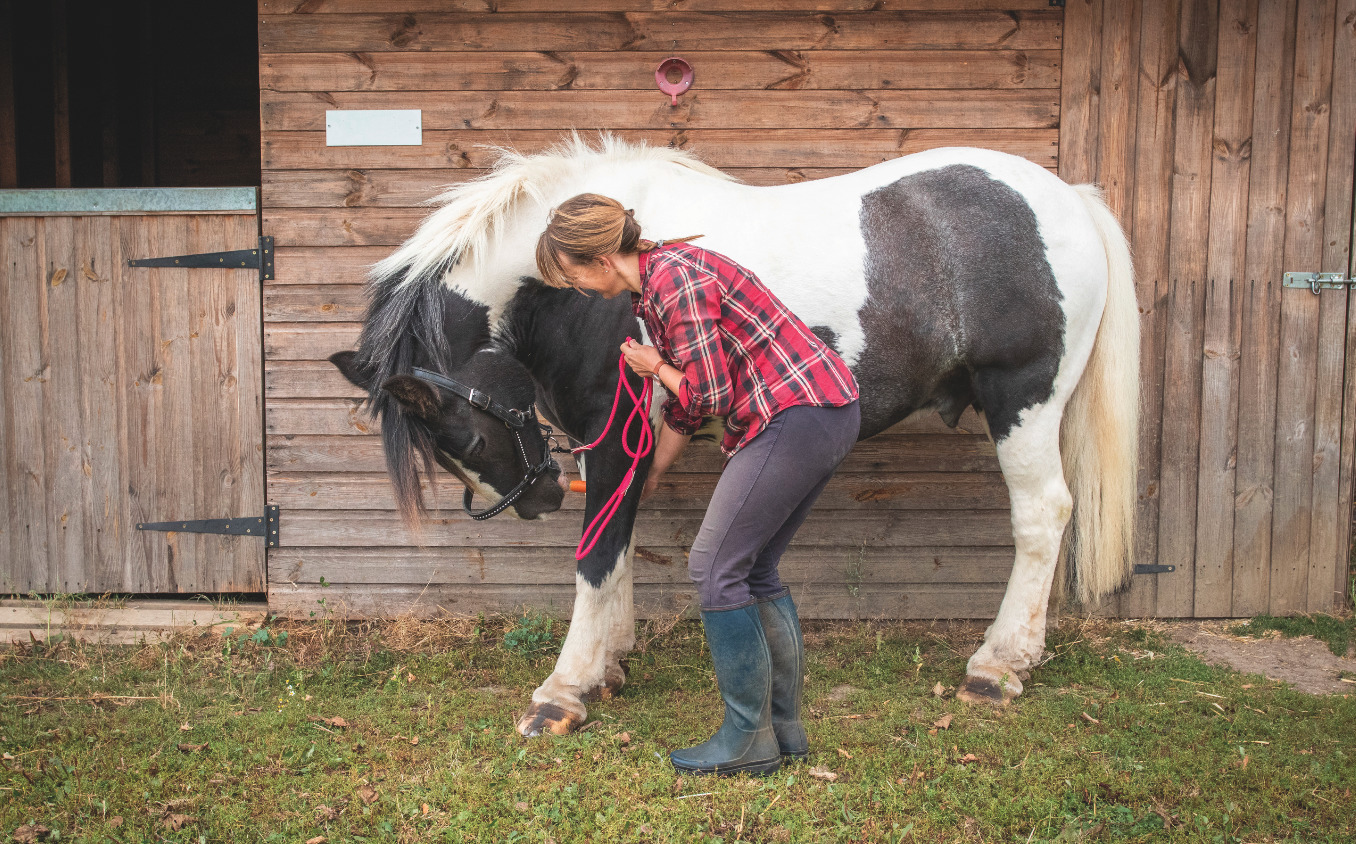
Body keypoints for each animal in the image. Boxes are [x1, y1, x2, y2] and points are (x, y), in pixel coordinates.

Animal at [330, 135, 1140, 739]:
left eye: (464, 441)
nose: (538, 500)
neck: (582, 293)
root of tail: (1068, 196)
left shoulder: (613, 434)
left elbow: (596, 553)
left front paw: (564, 690)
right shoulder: (635, 445)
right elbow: (619, 539)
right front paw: (609, 664)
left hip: (1022, 397)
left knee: (1043, 517)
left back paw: (998, 667)